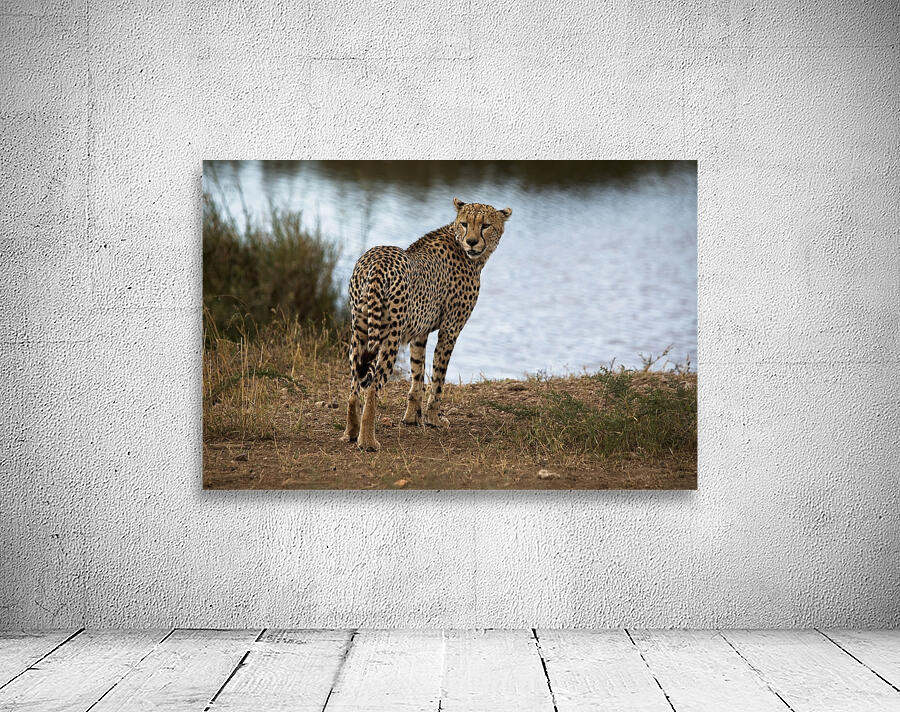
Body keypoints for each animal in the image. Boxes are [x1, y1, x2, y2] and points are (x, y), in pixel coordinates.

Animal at [340, 197, 512, 451]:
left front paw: (412, 417)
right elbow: (438, 377)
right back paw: (368, 440)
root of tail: (377, 259)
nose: (471, 242)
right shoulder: (450, 329)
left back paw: (351, 432)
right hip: (390, 337)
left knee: (354, 382)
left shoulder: (418, 333)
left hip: (360, 329)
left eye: (485, 225)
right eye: (465, 224)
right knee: (372, 386)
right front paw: (433, 418)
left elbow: (417, 374)